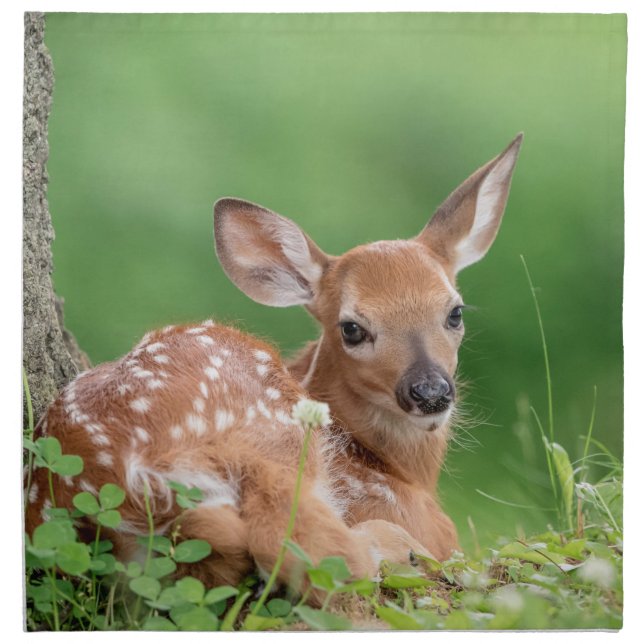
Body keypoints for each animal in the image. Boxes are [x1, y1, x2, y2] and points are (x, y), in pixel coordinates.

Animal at [25, 133, 523, 597]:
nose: (429, 392)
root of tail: (136, 480)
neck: (396, 468)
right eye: (352, 329)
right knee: (308, 549)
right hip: (271, 440)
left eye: (455, 312)